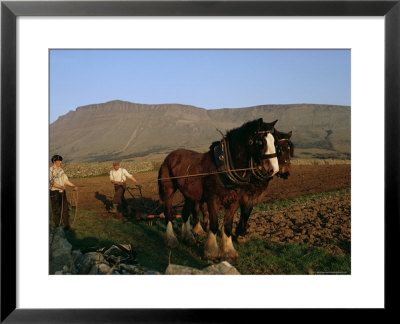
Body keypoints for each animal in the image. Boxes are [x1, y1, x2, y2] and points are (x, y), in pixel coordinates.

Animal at [156, 117, 278, 260]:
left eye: (274, 141)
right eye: (260, 142)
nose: (274, 169)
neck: (226, 167)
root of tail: (169, 156)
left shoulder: (234, 201)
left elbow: (228, 225)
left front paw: (229, 251)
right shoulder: (213, 199)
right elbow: (213, 224)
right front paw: (212, 251)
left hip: (189, 194)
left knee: (185, 214)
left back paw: (189, 238)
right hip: (168, 190)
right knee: (169, 213)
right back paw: (171, 239)